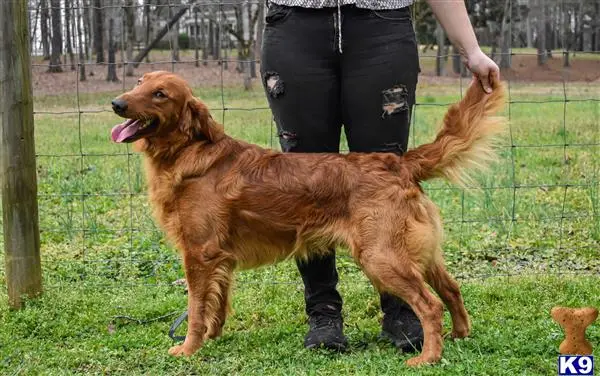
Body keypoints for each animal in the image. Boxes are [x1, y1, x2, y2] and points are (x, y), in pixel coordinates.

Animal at [110, 70, 504, 364]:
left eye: (160, 93)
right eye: (140, 82)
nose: (117, 103)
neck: (189, 154)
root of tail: (398, 162)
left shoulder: (199, 254)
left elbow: (194, 309)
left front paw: (188, 349)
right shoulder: (219, 258)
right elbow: (215, 305)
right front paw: (213, 337)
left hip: (382, 257)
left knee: (430, 304)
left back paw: (428, 357)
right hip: (419, 253)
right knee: (452, 289)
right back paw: (460, 335)